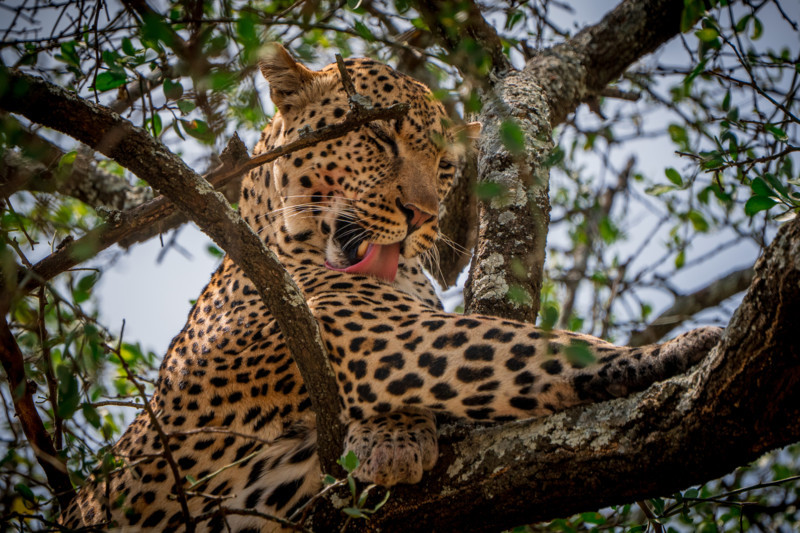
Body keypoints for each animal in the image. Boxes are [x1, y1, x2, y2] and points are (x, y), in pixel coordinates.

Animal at [61, 44, 721, 531]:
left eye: (447, 167)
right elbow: (529, 350)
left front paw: (394, 439)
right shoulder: (377, 338)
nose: (422, 215)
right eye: (379, 139)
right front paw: (676, 348)